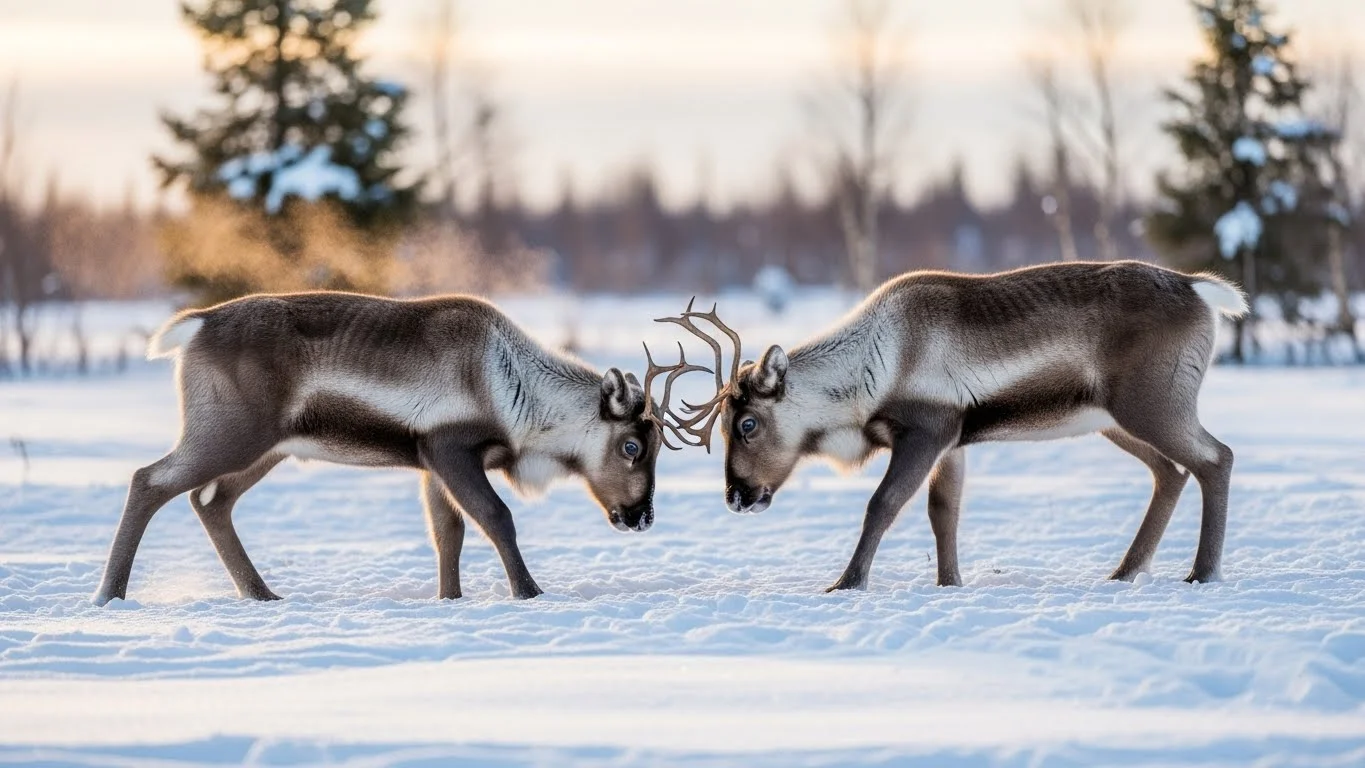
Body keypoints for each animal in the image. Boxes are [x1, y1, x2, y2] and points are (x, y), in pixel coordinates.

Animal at [94, 291, 664, 606]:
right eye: (632, 446)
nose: (642, 517)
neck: (519, 395)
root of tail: (198, 325)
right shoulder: (451, 448)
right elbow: (496, 517)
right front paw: (530, 592)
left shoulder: (431, 463)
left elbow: (449, 533)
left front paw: (450, 598)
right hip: (230, 435)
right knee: (149, 480)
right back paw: (109, 595)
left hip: (266, 450)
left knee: (210, 500)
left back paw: (261, 593)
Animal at [647, 262, 1249, 591]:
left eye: (747, 423)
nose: (737, 496)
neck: (873, 369)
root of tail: (1199, 289)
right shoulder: (954, 441)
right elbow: (944, 514)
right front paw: (949, 583)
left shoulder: (927, 431)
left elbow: (883, 505)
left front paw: (847, 582)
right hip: (1114, 420)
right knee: (1171, 471)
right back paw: (1125, 572)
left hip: (1153, 404)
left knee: (1215, 458)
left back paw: (1201, 573)